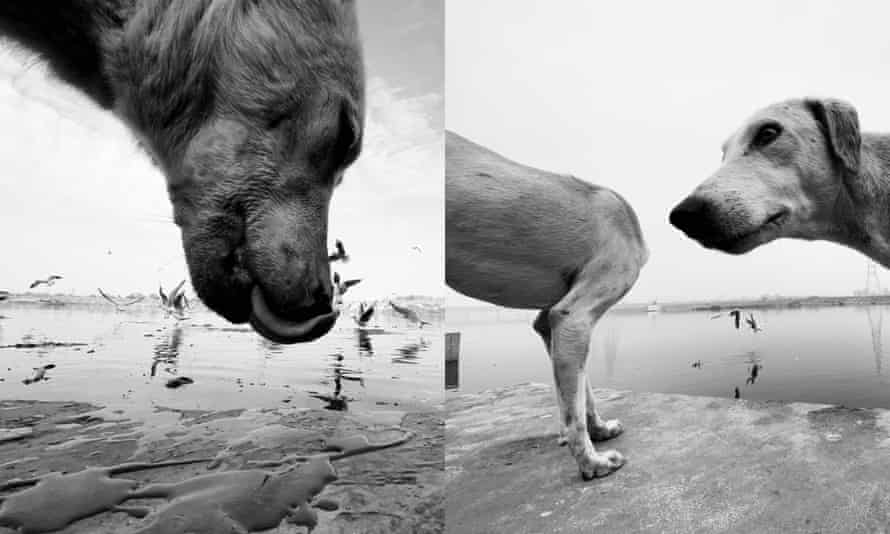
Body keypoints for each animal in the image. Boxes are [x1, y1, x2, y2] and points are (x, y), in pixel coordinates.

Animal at [444, 131, 644, 482]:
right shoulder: (573, 317)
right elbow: (575, 410)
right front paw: (593, 463)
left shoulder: (551, 322)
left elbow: (582, 393)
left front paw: (600, 429)